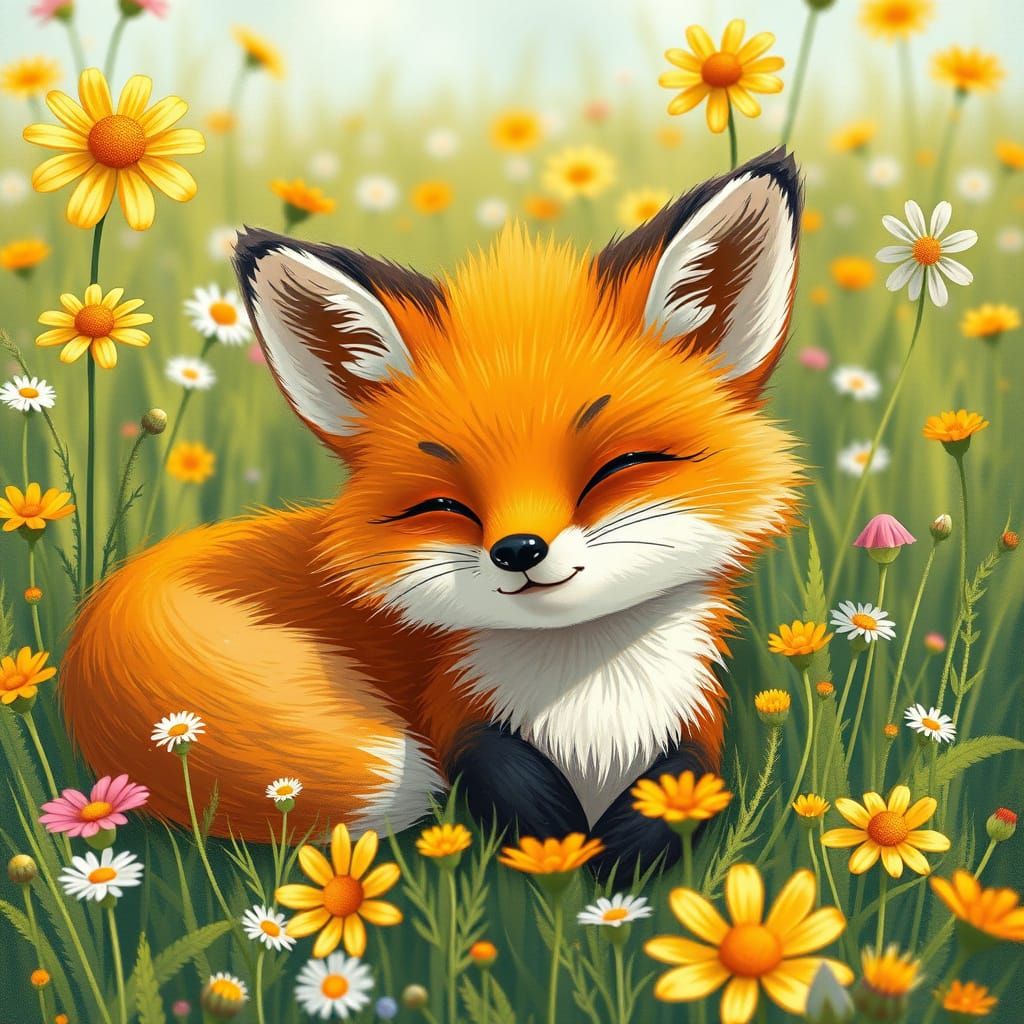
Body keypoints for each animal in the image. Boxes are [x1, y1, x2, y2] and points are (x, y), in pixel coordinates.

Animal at [61, 148, 804, 874]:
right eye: (443, 504)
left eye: (618, 468)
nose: (519, 550)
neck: (589, 704)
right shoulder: (455, 712)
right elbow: (494, 776)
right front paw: (562, 849)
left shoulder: (695, 719)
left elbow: (685, 788)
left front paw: (624, 857)